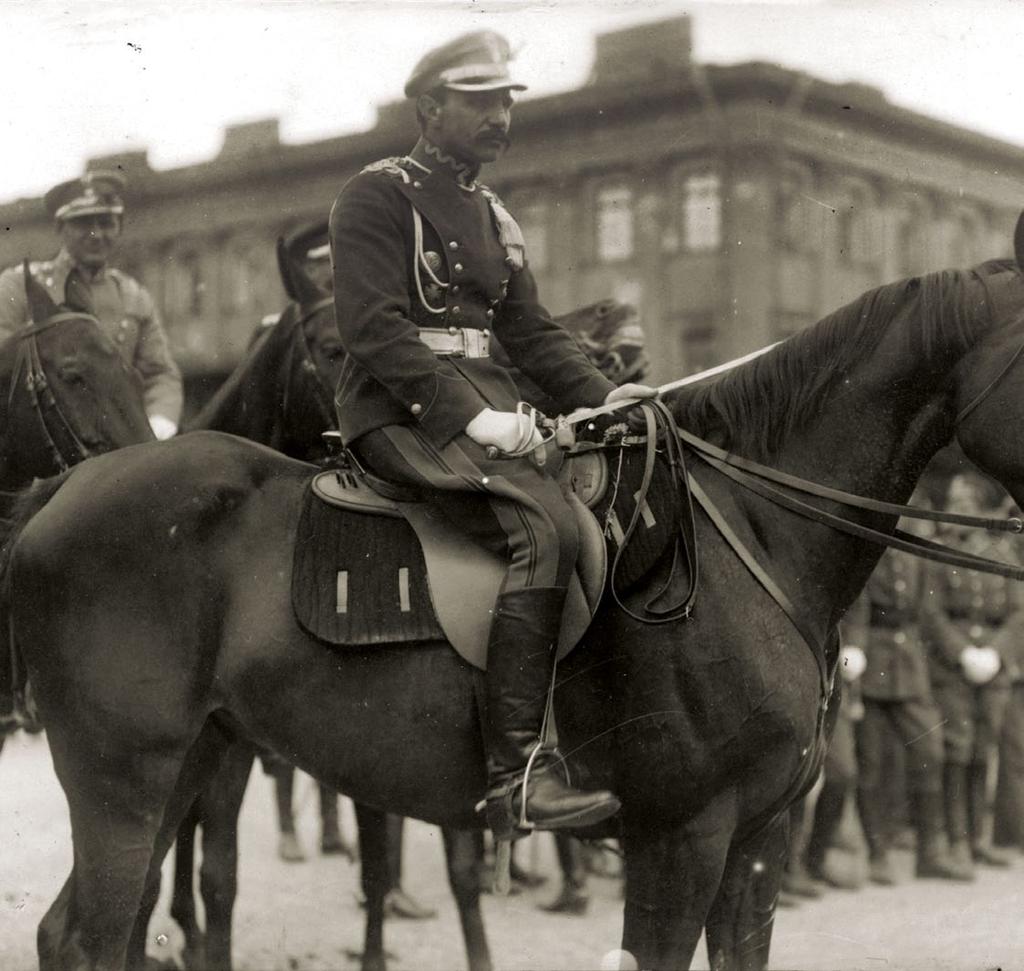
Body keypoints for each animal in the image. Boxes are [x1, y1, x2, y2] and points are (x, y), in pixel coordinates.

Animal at [8, 227, 1024, 971]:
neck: (751, 534)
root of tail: (65, 488)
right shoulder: (680, 836)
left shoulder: (756, 839)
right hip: (124, 777)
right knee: (90, 934)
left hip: (190, 761)